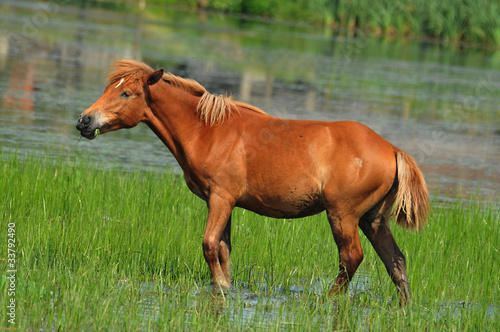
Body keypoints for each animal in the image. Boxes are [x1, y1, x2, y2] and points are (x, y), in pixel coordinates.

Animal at [77, 60, 430, 306]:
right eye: (109, 88)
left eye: (126, 93)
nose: (84, 120)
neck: (208, 131)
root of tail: (393, 150)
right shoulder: (223, 203)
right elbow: (223, 251)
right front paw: (225, 290)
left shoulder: (221, 198)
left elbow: (209, 245)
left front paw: (222, 288)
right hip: (373, 220)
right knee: (397, 262)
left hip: (343, 215)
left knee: (351, 259)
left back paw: (327, 300)